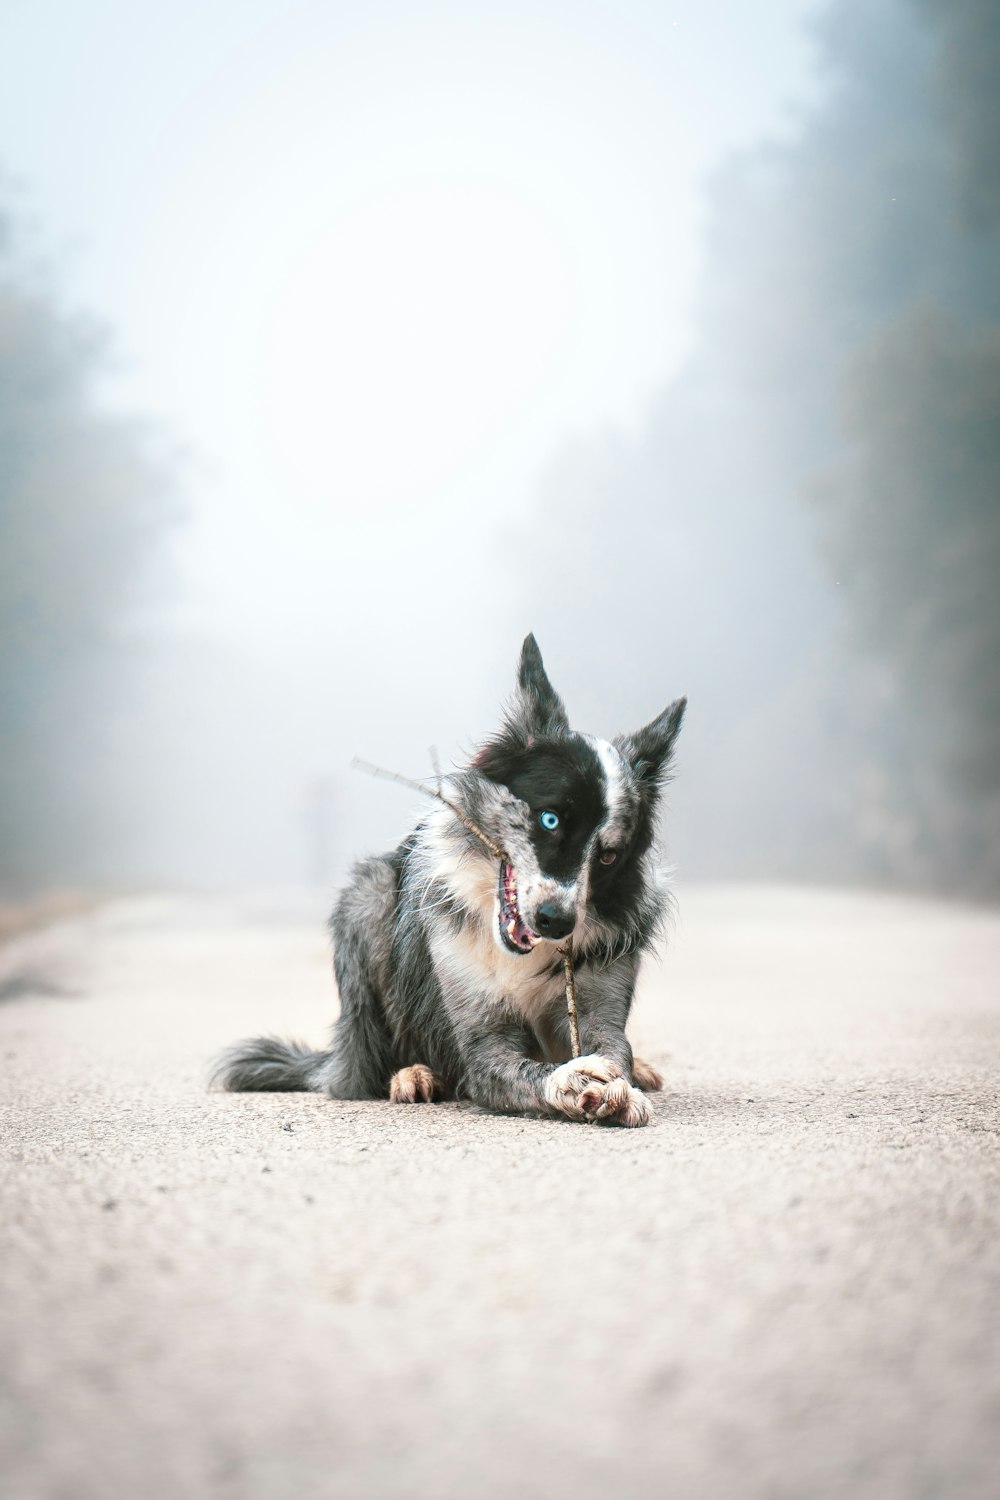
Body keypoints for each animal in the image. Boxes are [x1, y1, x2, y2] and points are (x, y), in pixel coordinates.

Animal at [212, 639, 689, 1128]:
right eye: (550, 819)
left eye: (609, 855)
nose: (556, 922)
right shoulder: (481, 1038)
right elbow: (524, 1069)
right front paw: (572, 1081)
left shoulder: (600, 1002)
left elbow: (615, 1049)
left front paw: (625, 1086)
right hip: (369, 901)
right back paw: (410, 1074)